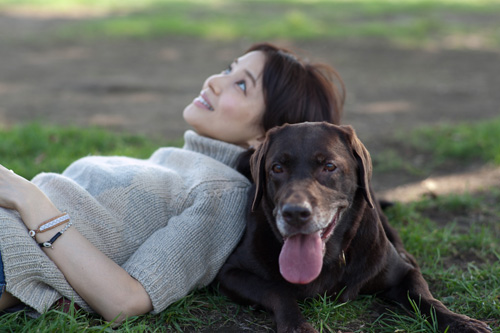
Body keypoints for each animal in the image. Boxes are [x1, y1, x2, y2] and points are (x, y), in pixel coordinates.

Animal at [216, 122, 492, 332]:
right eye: (277, 168)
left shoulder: (403, 273)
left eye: (329, 166)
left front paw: (462, 322)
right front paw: (297, 326)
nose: (294, 213)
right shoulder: (230, 273)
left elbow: (426, 298)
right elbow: (277, 291)